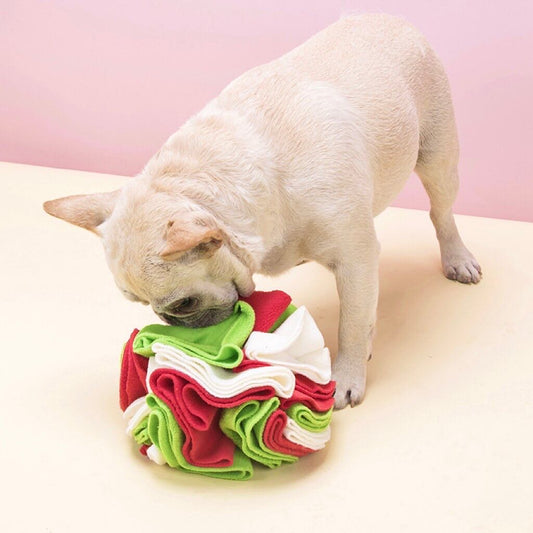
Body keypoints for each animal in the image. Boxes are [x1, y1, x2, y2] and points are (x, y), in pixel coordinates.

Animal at [43, 14, 480, 410]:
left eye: (183, 305)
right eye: (137, 304)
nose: (168, 323)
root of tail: (390, 18)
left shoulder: (356, 260)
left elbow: (353, 323)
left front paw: (346, 377)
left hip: (438, 158)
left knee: (441, 213)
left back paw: (457, 257)